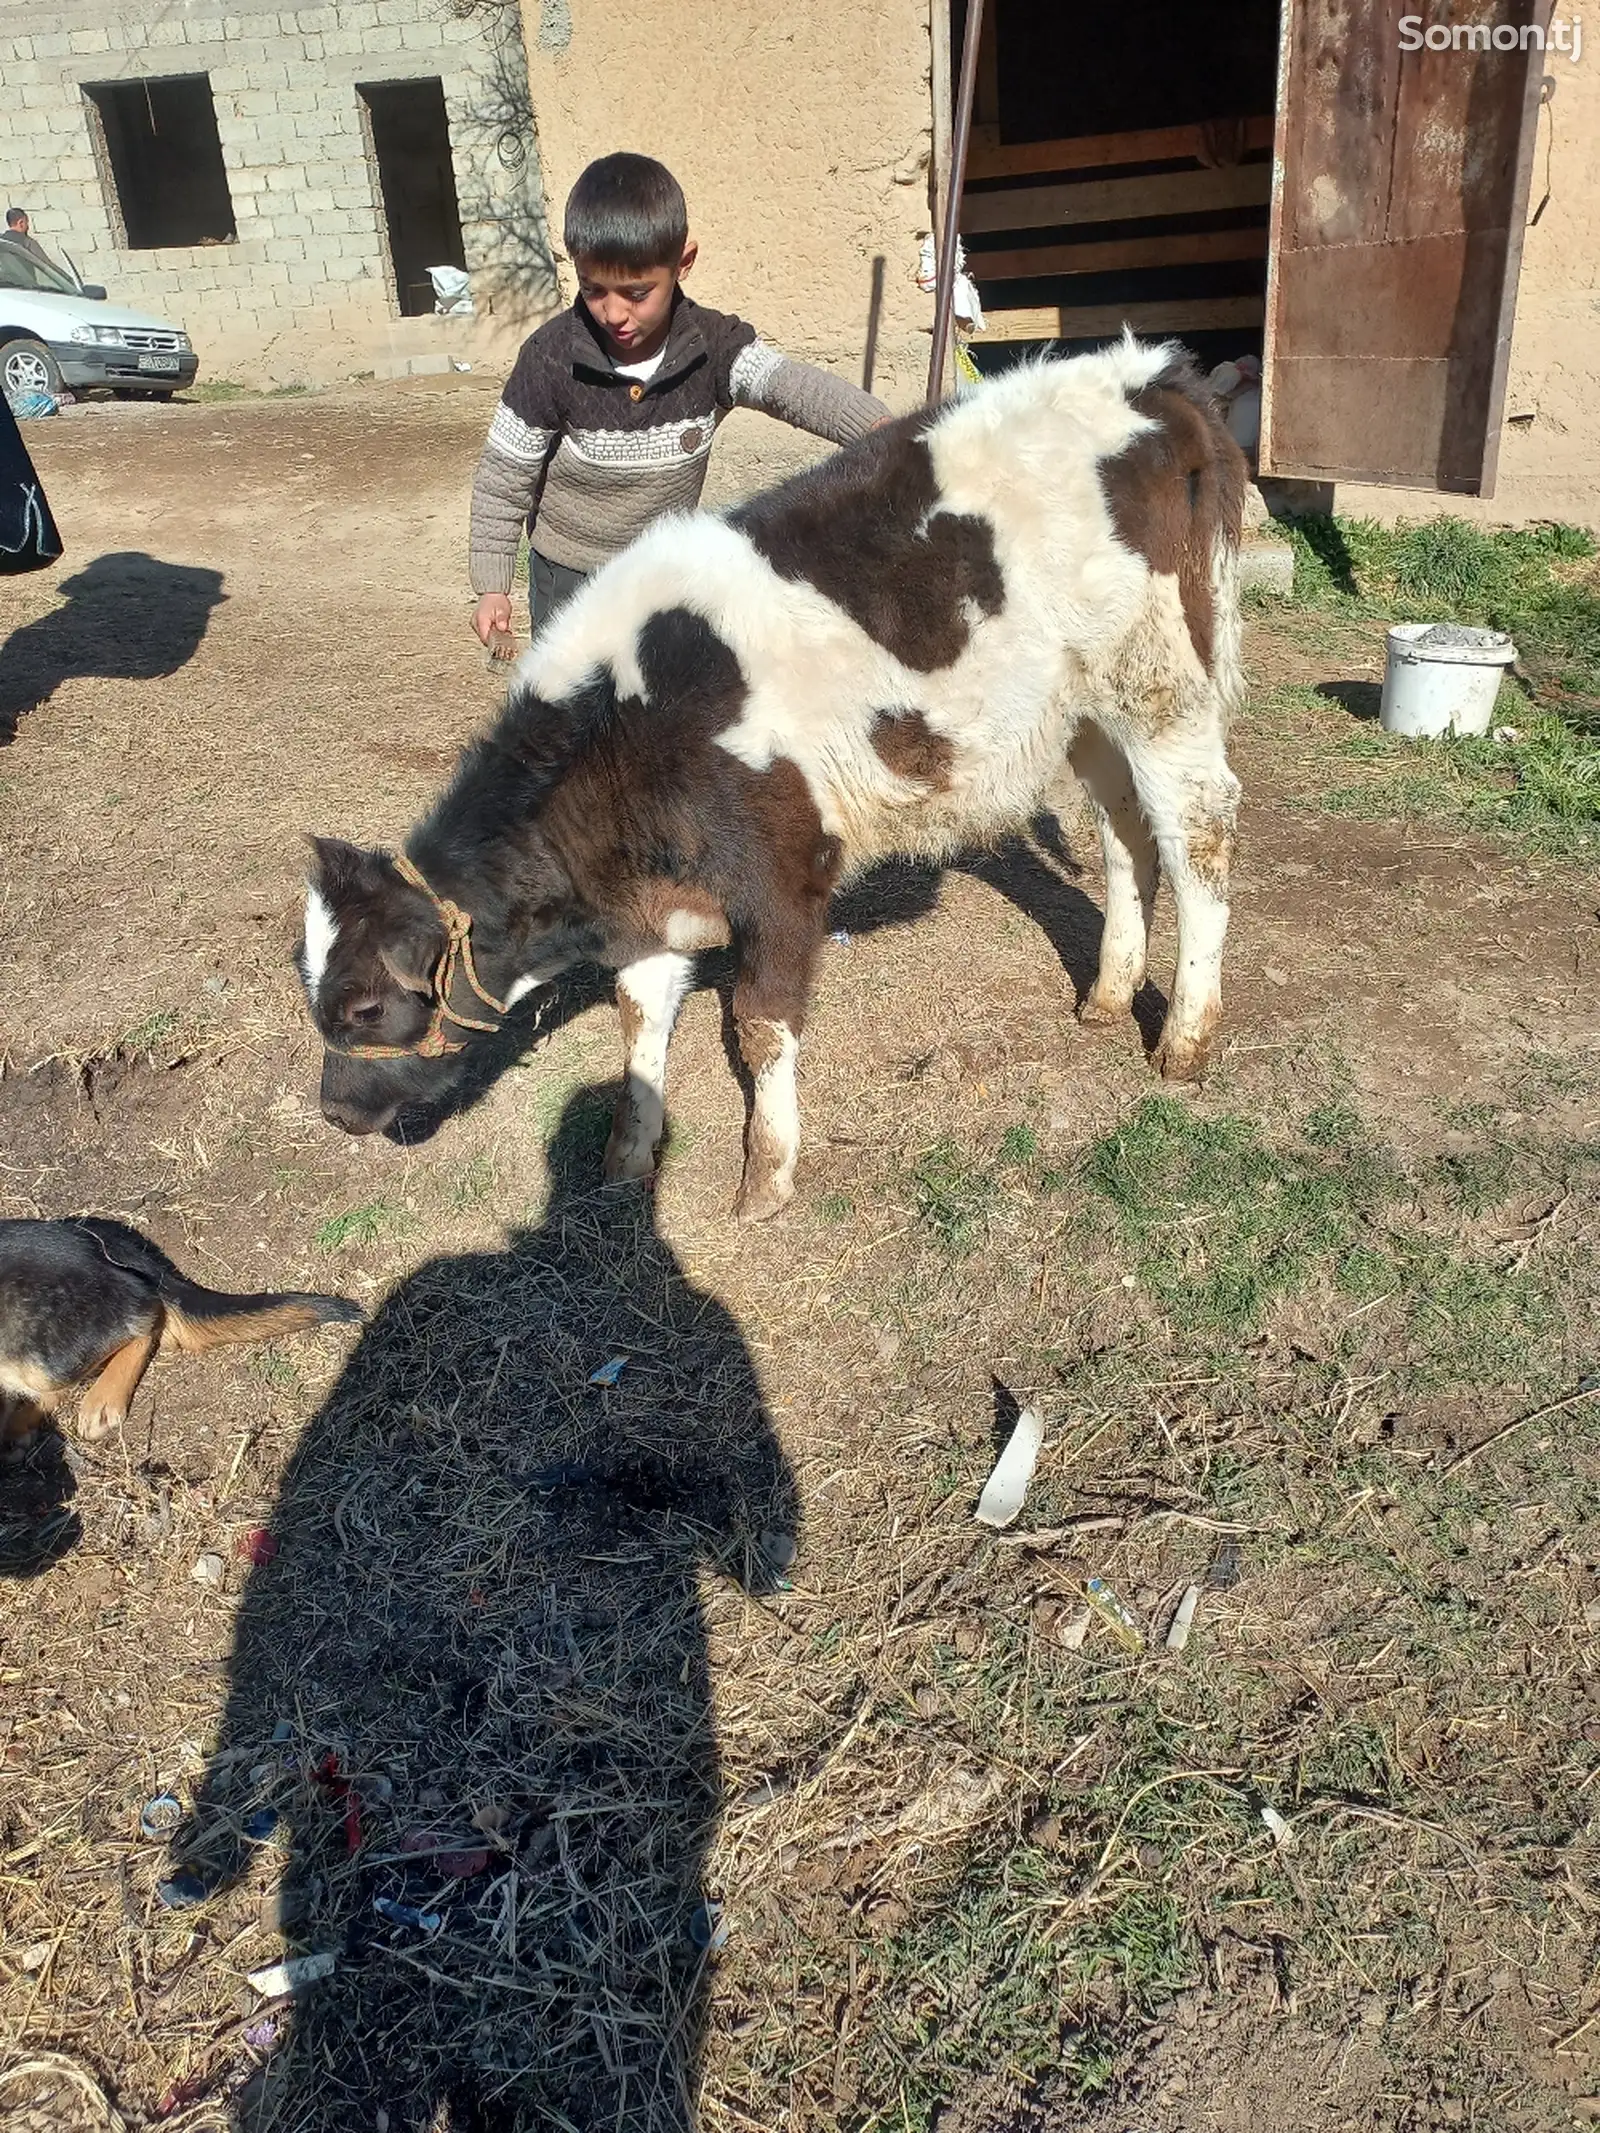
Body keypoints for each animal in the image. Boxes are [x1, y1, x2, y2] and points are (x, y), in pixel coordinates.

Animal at [300, 343, 1254, 1228]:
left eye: (369, 1005)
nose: (336, 1111)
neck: (632, 723)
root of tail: (1152, 375)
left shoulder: (785, 878)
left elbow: (761, 1027)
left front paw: (766, 1173)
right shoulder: (655, 906)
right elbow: (639, 1020)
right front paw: (630, 1152)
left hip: (1162, 680)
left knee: (1197, 829)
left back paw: (1184, 1039)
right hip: (1084, 709)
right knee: (1125, 831)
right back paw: (1108, 994)